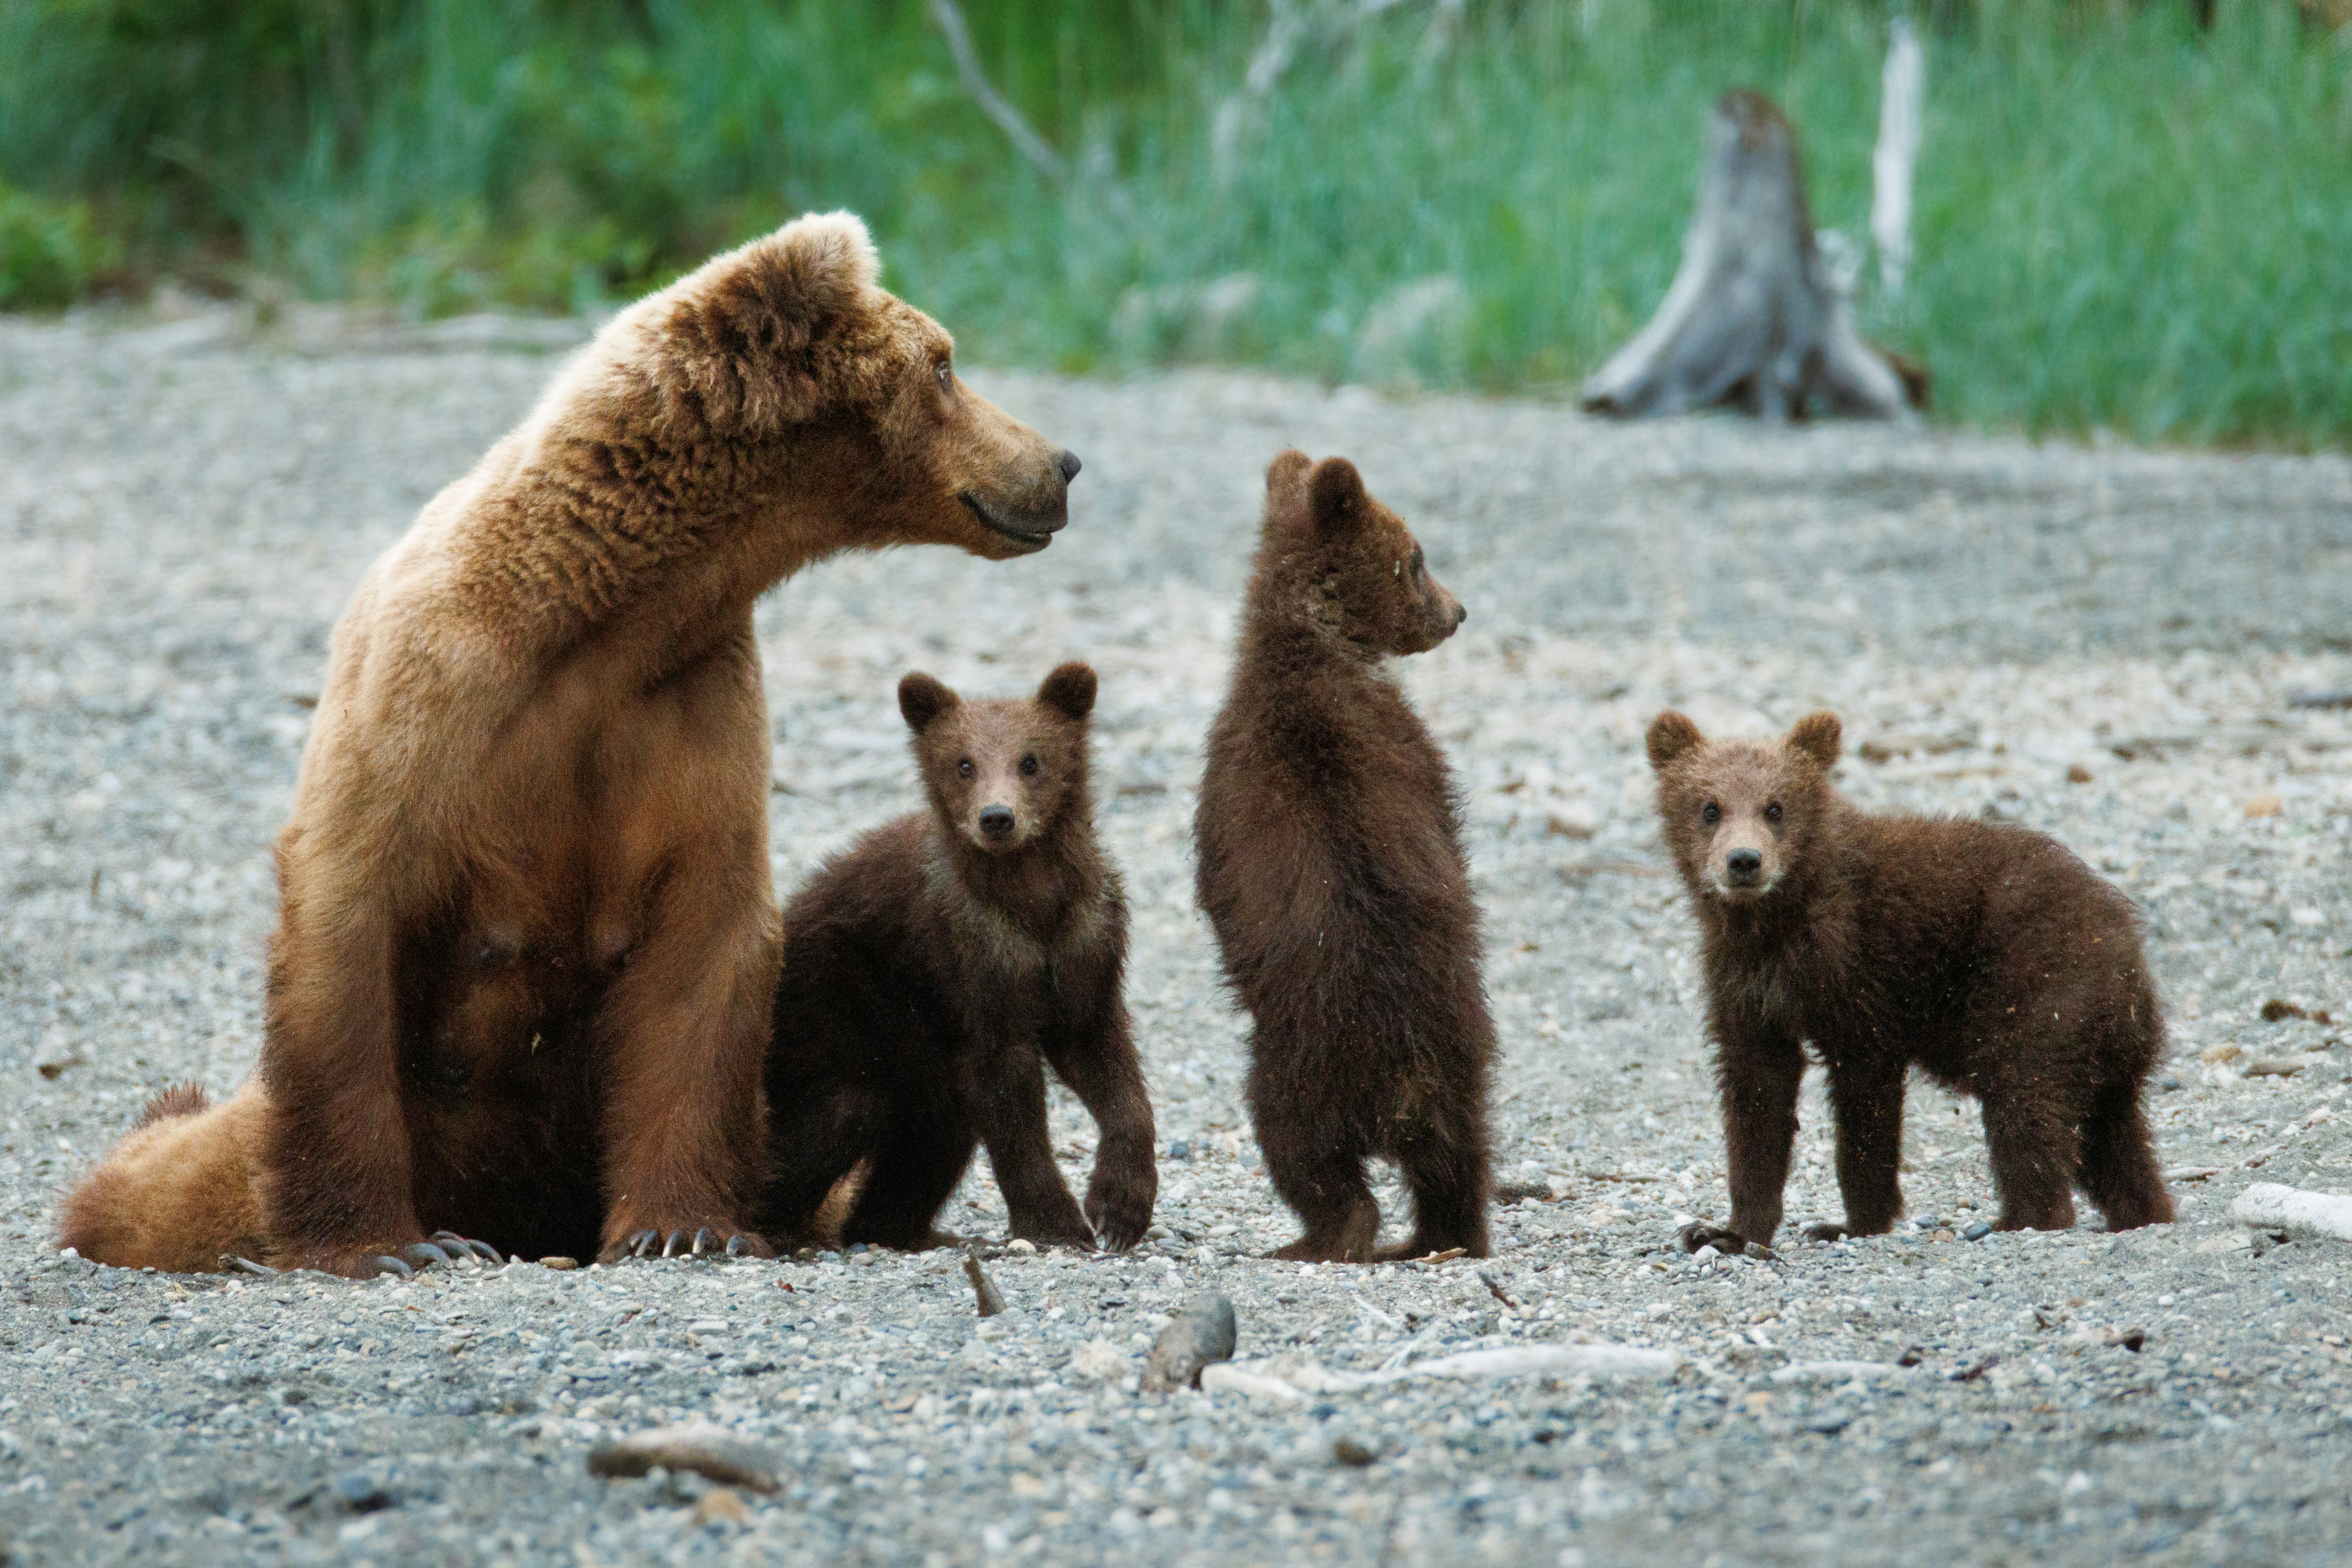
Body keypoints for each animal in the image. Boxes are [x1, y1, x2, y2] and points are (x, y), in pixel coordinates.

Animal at [60, 211, 1083, 1276]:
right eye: (945, 365)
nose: (1060, 463)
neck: (607, 615)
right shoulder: (433, 702)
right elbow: (351, 923)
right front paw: (388, 1244)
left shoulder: (685, 713)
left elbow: (703, 947)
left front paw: (681, 1224)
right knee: (159, 1180)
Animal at [759, 662, 1156, 1253]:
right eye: (963, 763)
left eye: (1031, 759)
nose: (998, 818)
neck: (1031, 897)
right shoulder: (975, 955)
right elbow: (1007, 1090)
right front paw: (1058, 1222)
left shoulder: (1083, 939)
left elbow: (1103, 1057)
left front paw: (1120, 1206)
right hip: (834, 1014)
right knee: (840, 1111)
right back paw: (776, 1228)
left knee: (936, 1129)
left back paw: (911, 1230)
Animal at [1194, 451, 1495, 1263]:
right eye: (1417, 558)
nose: (1458, 611)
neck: (1315, 649)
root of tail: (1403, 1086)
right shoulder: (1409, 759)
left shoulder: (1243, 771)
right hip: (1461, 1051)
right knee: (1459, 1160)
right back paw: (1441, 1235)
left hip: (1292, 1066)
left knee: (1307, 1158)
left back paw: (1318, 1238)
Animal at [1646, 709, 2175, 1252]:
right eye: (1710, 807)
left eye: (1776, 807)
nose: (1744, 861)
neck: (1776, 923)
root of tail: (2132, 956)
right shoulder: (1746, 986)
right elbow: (1757, 1098)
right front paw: (1725, 1230)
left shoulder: (1860, 972)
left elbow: (1865, 1101)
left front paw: (1852, 1221)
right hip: (2100, 1045)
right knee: (2112, 1138)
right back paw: (2143, 1209)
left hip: (2039, 993)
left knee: (2025, 1102)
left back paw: (2021, 1217)